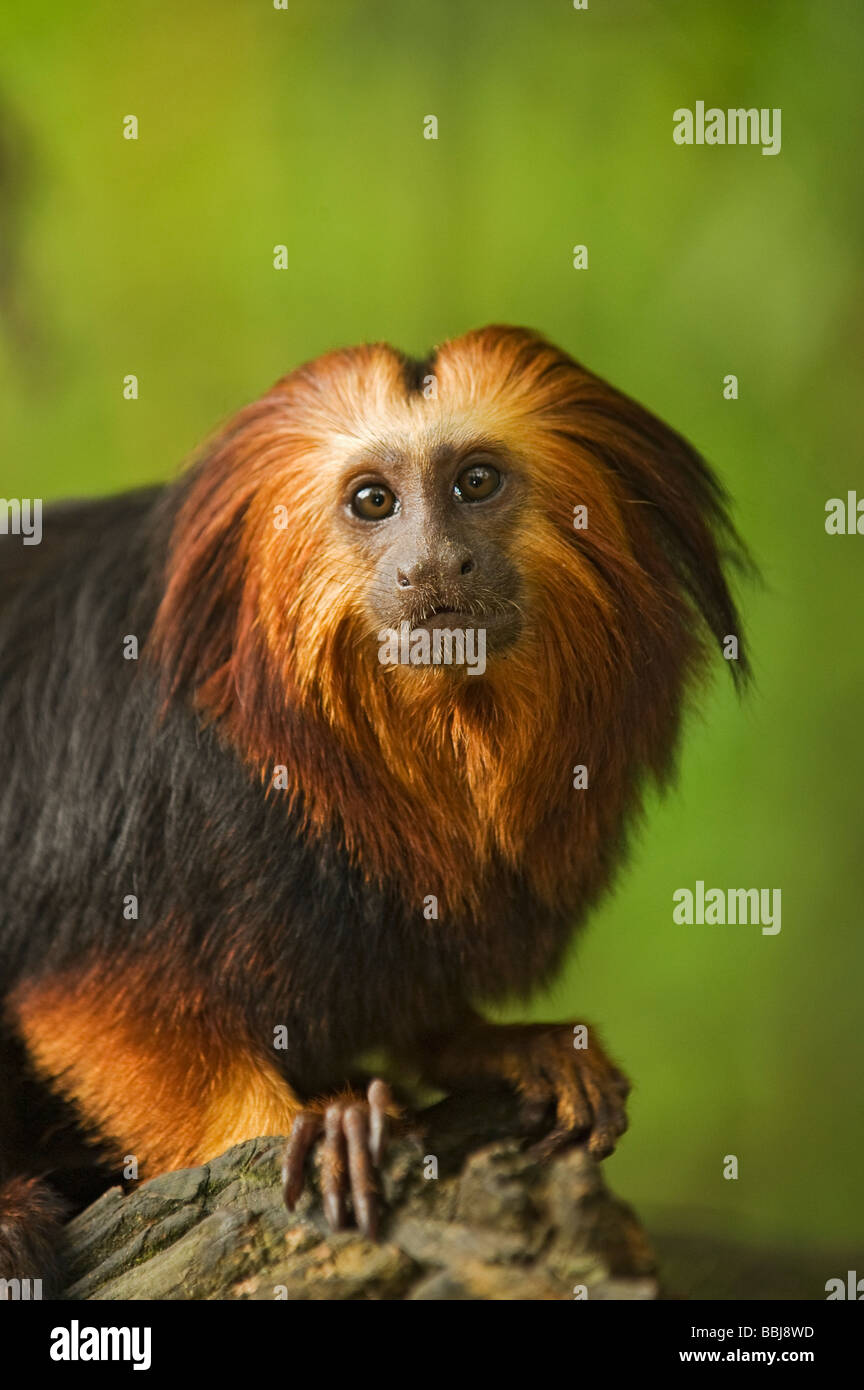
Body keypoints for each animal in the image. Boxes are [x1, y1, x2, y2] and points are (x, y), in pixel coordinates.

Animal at [0, 319, 750, 1284]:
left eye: (477, 482)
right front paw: (314, 1126)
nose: (433, 564)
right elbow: (98, 1005)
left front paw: (494, 1045)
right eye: (372, 500)